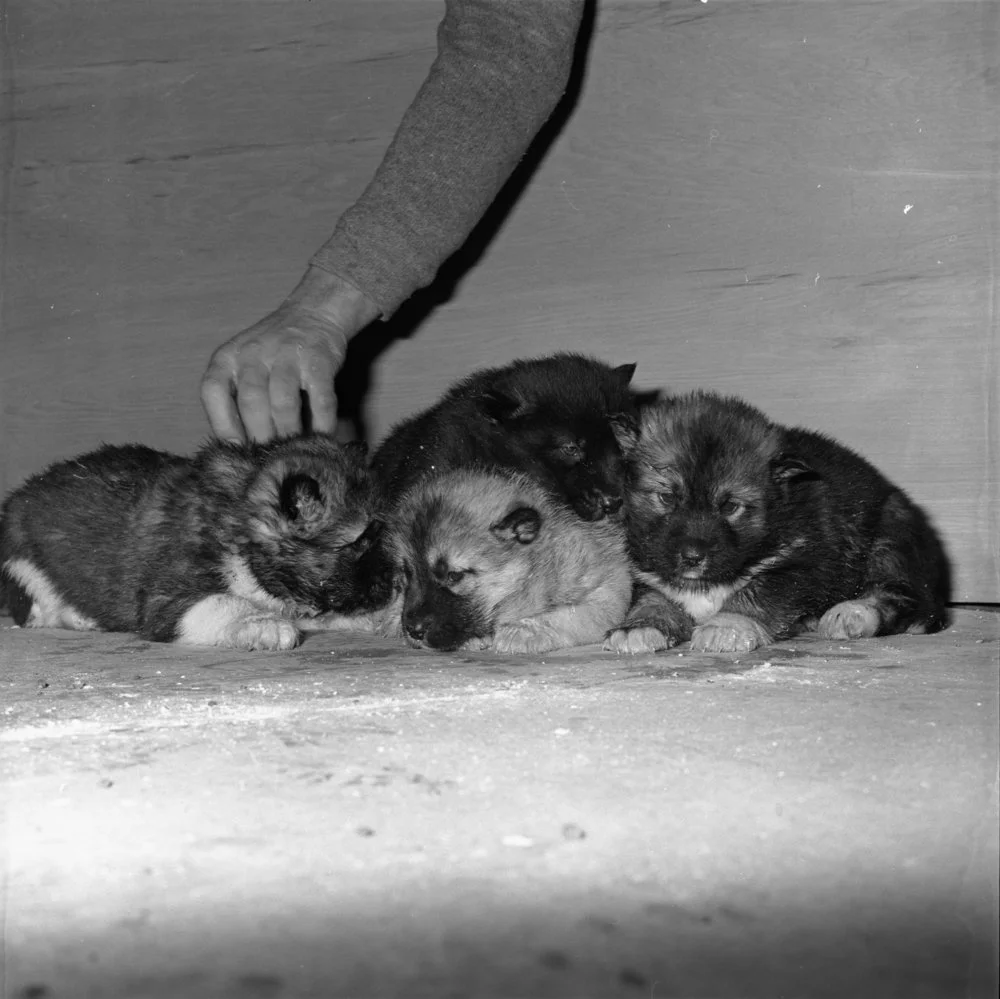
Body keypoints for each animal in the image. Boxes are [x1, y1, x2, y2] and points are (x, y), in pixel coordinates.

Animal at [0, 436, 398, 652]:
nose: (394, 585)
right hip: (24, 569)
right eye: (360, 542)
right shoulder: (169, 599)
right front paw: (261, 624)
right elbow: (224, 601)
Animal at [386, 470, 628, 656]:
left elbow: (571, 615)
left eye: (454, 575)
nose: (413, 631)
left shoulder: (608, 594)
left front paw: (522, 631)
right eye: (407, 573)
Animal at [604, 390, 948, 656]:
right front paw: (639, 625)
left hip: (891, 534)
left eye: (730, 506)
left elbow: (759, 590)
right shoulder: (647, 570)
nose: (692, 557)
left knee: (906, 599)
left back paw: (853, 613)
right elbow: (654, 597)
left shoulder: (801, 563)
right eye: (666, 497)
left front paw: (727, 625)